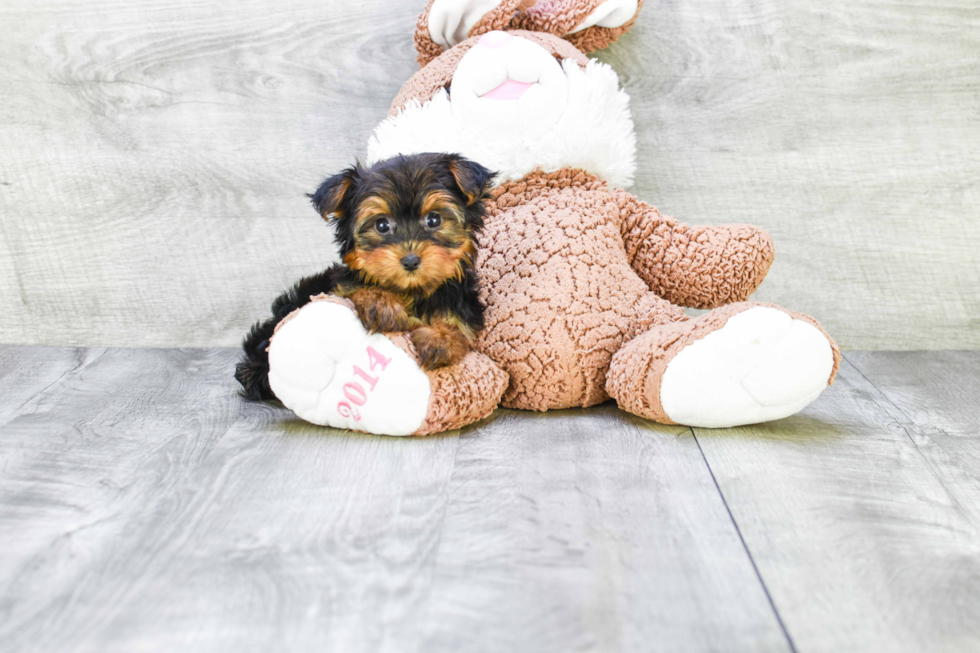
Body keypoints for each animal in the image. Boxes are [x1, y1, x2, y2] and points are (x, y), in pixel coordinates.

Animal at [234, 152, 494, 400]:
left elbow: (459, 326)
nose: (410, 260)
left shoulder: (464, 304)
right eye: (382, 225)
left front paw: (440, 338)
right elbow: (356, 289)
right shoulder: (340, 287)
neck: (412, 291)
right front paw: (381, 302)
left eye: (434, 219)